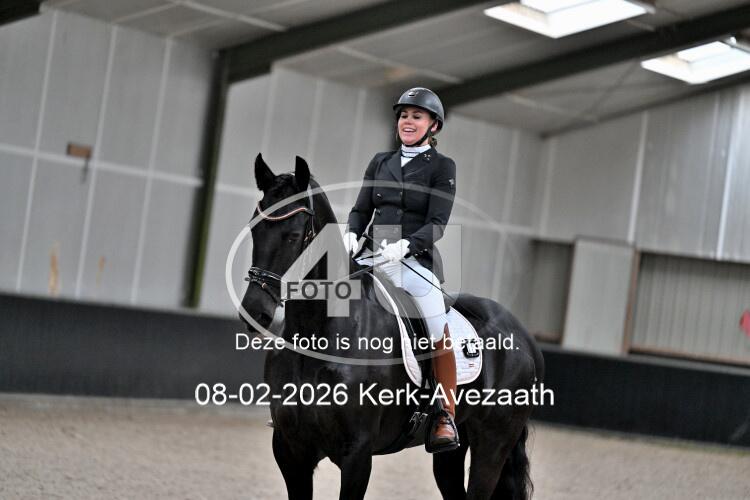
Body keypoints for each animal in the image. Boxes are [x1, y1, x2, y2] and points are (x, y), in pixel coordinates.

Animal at [240, 153, 545, 500]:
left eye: (292, 236)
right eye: (254, 230)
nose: (255, 310)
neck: (318, 336)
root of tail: (525, 338)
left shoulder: (357, 455)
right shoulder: (290, 450)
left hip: (493, 444)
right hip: (453, 451)